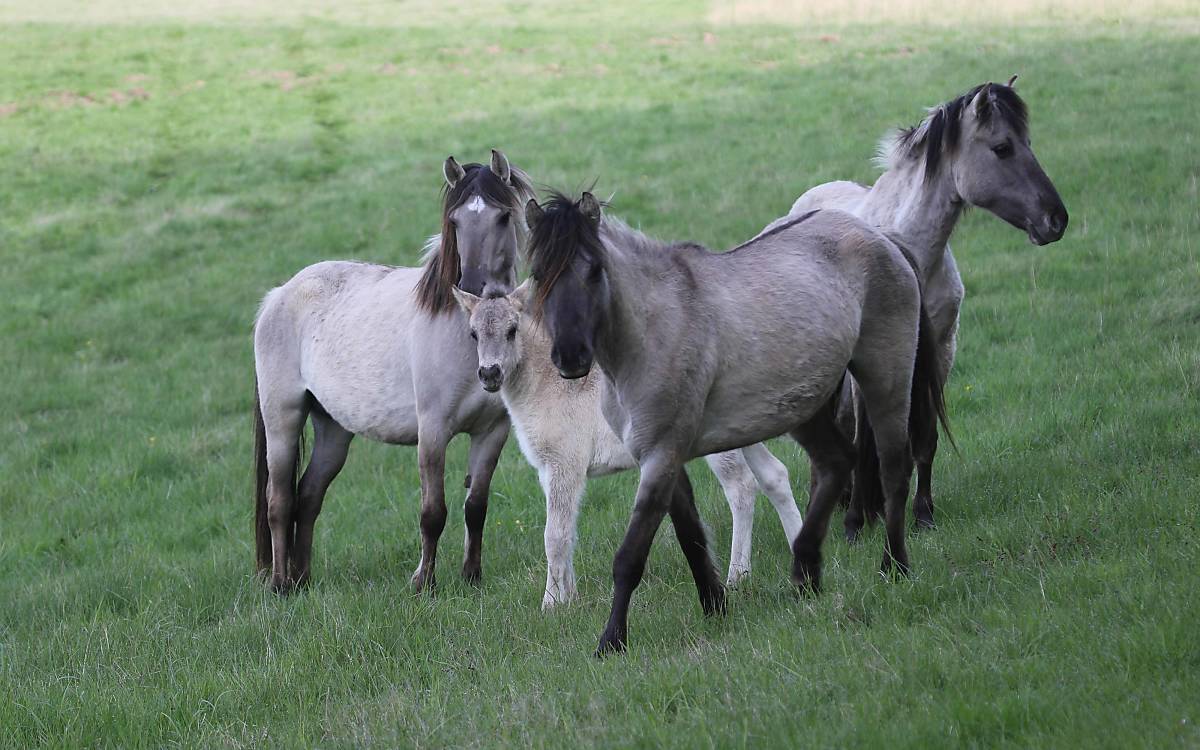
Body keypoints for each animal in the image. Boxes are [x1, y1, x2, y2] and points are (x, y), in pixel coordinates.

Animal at [253, 150, 535, 590]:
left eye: (503, 217)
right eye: (455, 221)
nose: (473, 288)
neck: (469, 337)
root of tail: (278, 295)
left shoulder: (492, 433)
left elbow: (476, 507)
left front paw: (471, 578)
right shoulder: (432, 431)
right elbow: (433, 512)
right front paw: (424, 583)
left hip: (333, 429)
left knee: (309, 496)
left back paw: (302, 581)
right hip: (282, 419)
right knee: (279, 501)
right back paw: (281, 585)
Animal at [451, 283, 806, 604]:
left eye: (512, 330)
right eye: (473, 334)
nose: (489, 374)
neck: (549, 384)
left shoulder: (565, 464)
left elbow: (555, 535)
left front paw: (551, 604)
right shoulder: (548, 469)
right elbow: (569, 531)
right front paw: (571, 598)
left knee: (741, 487)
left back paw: (737, 576)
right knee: (774, 476)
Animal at [525, 193, 945, 652]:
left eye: (594, 270)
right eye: (538, 275)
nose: (570, 358)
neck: (654, 330)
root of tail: (880, 237)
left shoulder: (661, 455)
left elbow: (631, 556)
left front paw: (611, 640)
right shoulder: (660, 456)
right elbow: (691, 536)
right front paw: (715, 605)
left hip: (886, 378)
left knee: (894, 470)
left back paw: (893, 567)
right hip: (806, 407)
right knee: (837, 463)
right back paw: (805, 574)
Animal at [777, 79, 1070, 537]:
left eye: (1027, 143)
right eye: (1002, 148)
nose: (1056, 220)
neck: (907, 248)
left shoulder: (940, 352)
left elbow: (925, 438)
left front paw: (923, 513)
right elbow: (863, 439)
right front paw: (856, 522)